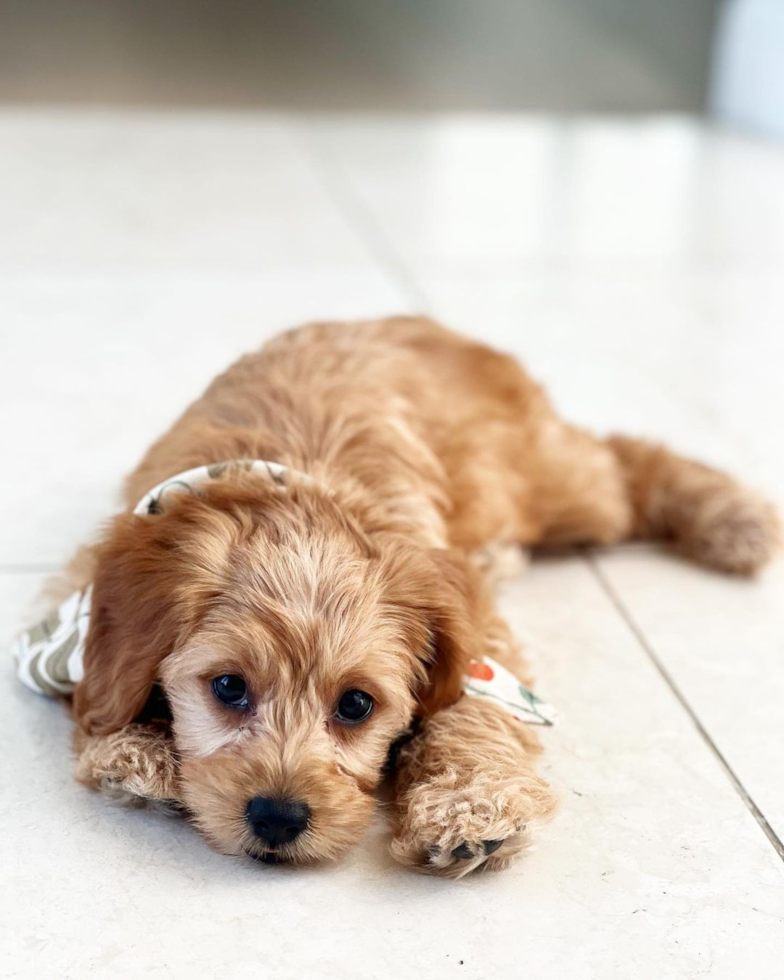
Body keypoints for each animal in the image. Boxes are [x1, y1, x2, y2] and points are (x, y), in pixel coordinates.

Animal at [26, 318, 776, 876]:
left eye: (357, 705)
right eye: (229, 687)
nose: (277, 817)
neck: (299, 482)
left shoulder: (475, 633)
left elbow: (470, 711)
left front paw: (470, 806)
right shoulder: (72, 599)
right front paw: (134, 750)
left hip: (561, 485)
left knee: (622, 460)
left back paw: (735, 516)